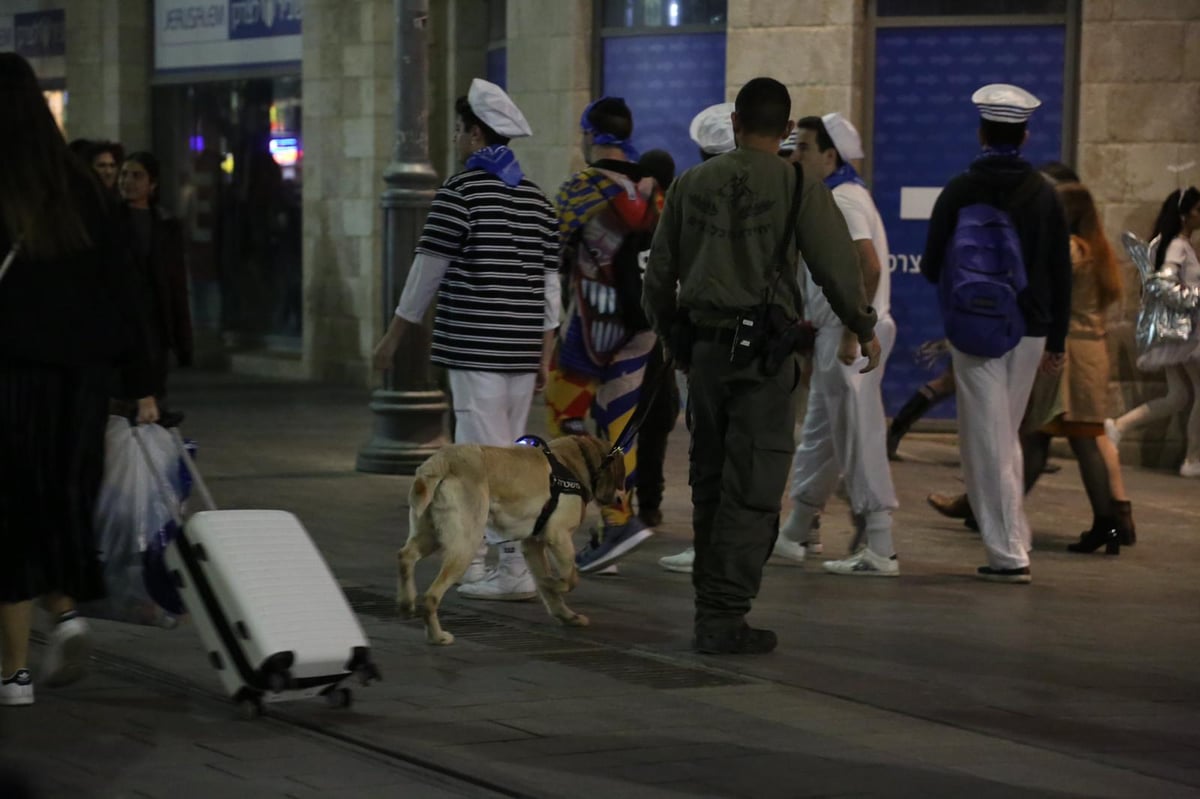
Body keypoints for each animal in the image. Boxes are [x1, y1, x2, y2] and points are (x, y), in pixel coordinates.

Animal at [398, 431, 624, 643]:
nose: (621, 501)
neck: (574, 460)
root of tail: (442, 459)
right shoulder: (558, 536)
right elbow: (570, 578)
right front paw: (552, 582)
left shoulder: (532, 544)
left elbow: (550, 591)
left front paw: (567, 615)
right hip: (466, 543)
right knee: (431, 596)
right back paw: (437, 637)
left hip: (431, 534)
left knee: (405, 556)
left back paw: (406, 602)